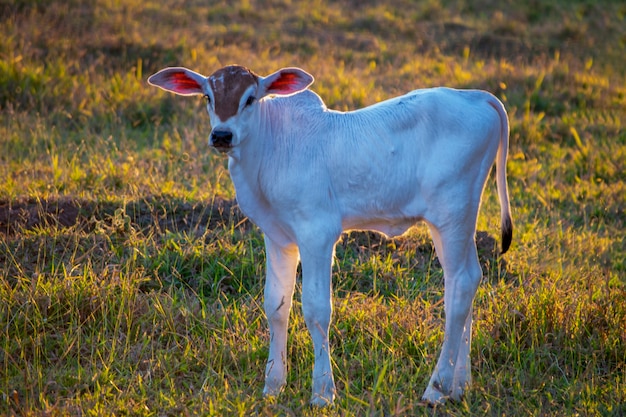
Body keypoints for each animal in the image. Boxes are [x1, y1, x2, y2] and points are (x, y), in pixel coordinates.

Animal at [149, 63, 510, 404]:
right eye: (208, 97)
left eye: (250, 99)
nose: (222, 135)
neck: (270, 148)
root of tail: (477, 96)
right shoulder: (278, 238)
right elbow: (276, 306)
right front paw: (273, 385)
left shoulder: (317, 233)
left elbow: (316, 310)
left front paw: (322, 392)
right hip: (457, 218)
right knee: (466, 280)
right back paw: (459, 385)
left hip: (452, 212)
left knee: (460, 285)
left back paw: (437, 388)